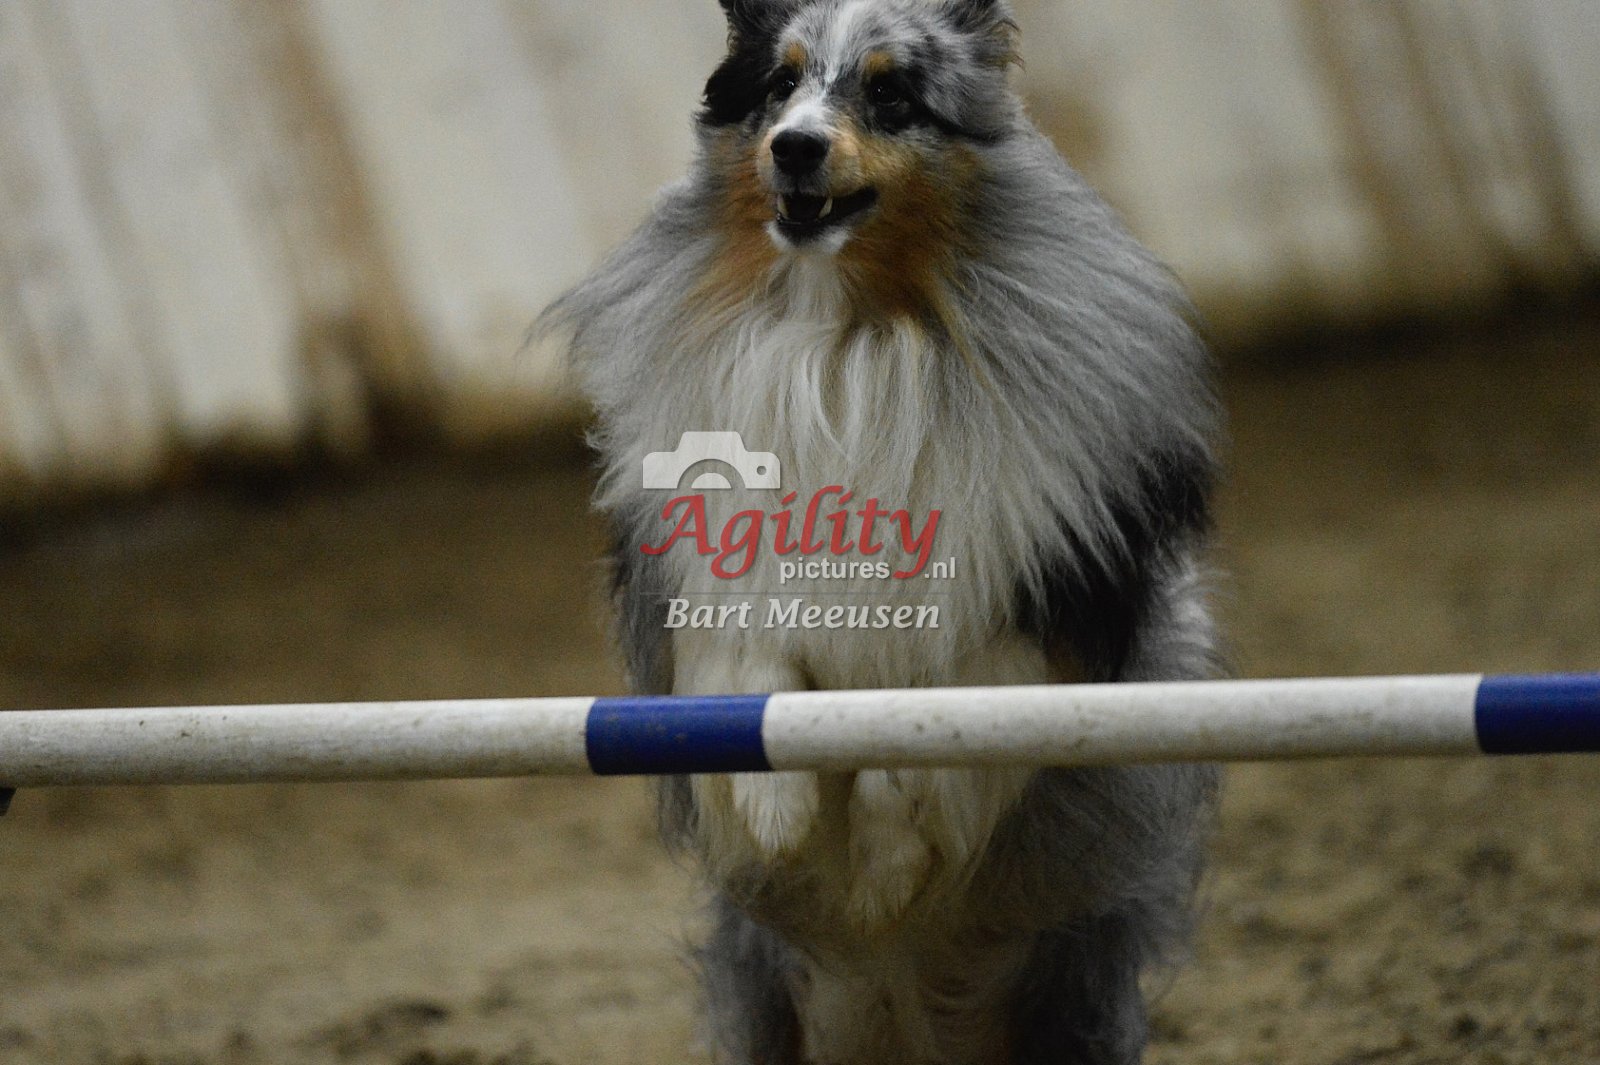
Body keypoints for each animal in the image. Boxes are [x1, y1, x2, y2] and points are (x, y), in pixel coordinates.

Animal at [542, 1, 1222, 1060]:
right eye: (779, 85)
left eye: (893, 93)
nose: (794, 146)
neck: (846, 334)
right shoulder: (715, 567)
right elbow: (749, 657)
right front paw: (777, 807)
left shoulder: (1035, 600)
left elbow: (921, 732)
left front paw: (883, 867)